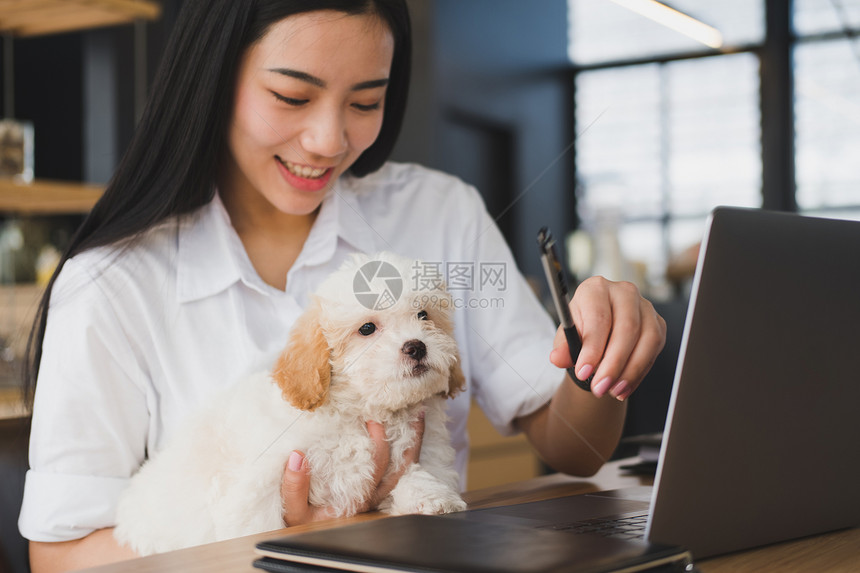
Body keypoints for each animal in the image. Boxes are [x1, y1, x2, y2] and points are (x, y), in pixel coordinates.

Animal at [114, 251, 466, 556]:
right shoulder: (262, 481)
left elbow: (415, 475)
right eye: (367, 328)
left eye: (424, 315)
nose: (416, 346)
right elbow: (258, 523)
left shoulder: (421, 454)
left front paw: (432, 498)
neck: (363, 408)